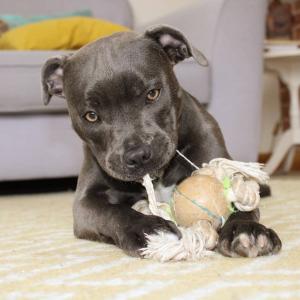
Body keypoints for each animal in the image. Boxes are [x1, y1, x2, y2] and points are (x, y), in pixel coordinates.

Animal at [41, 25, 282, 258]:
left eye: (153, 94)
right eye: (91, 116)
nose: (138, 156)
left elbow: (240, 200)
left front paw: (245, 230)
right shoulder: (85, 202)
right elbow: (113, 211)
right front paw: (147, 230)